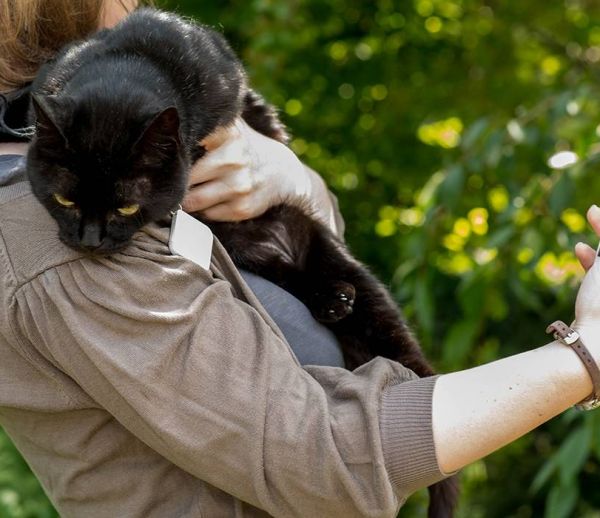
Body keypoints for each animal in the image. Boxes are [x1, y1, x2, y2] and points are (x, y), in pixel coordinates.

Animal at [25, 9, 460, 518]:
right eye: (65, 200)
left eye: (125, 208)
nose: (90, 240)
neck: (129, 63)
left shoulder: (227, 80)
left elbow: (256, 116)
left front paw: (265, 133)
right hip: (250, 254)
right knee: (289, 274)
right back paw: (331, 300)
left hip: (360, 288)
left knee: (415, 368)